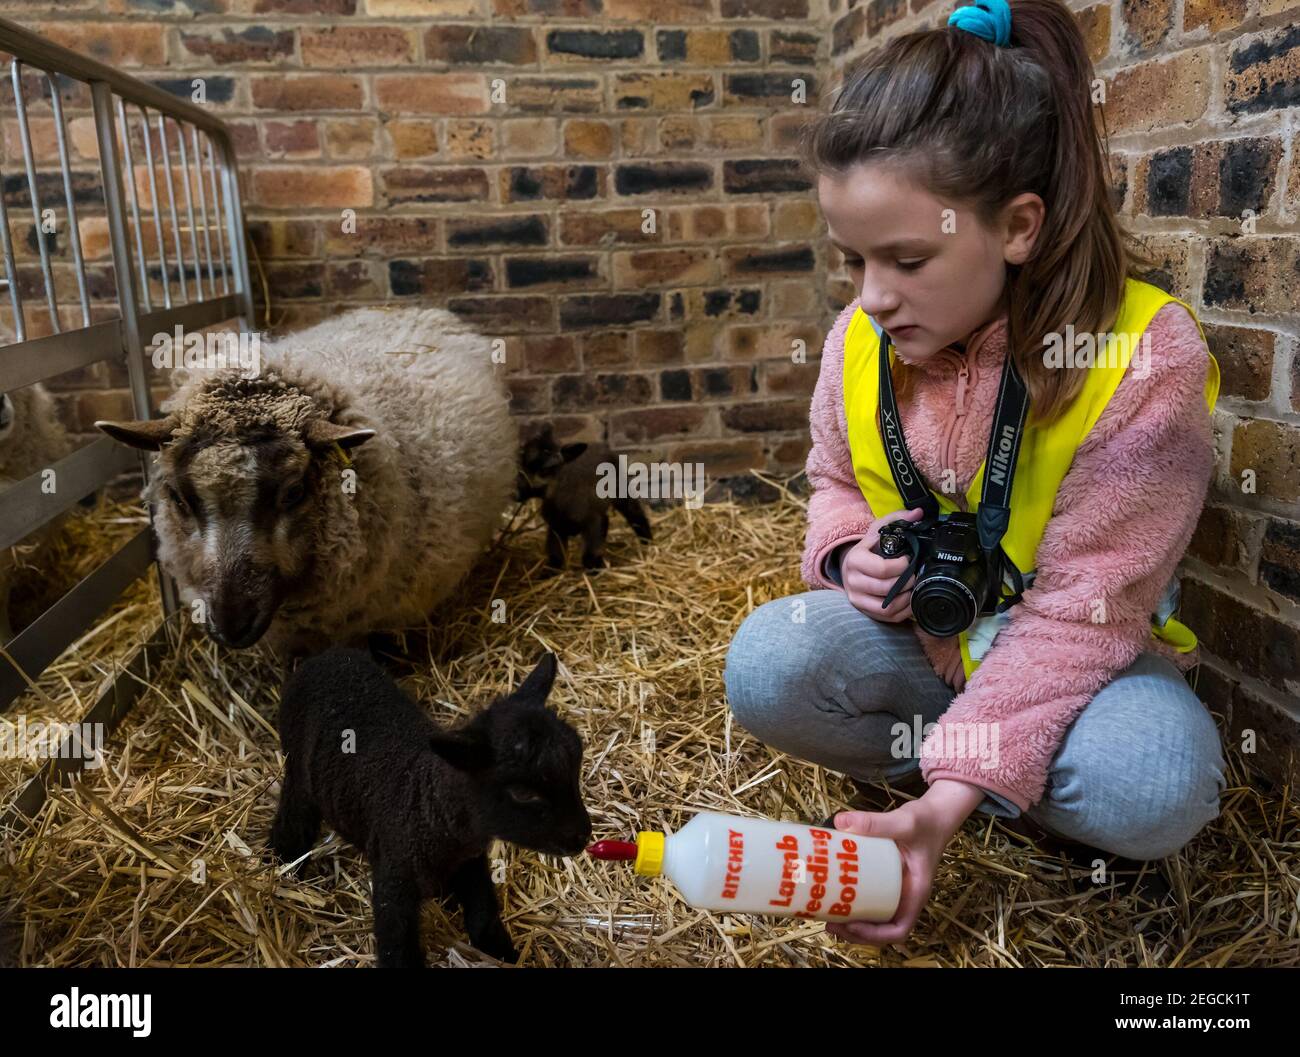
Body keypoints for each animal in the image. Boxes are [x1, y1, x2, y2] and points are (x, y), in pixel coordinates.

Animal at [270, 647, 590, 967]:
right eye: (523, 793)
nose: (583, 836)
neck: (426, 802)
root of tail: (325, 655)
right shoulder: (394, 879)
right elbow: (398, 950)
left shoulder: (471, 862)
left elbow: (483, 915)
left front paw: (504, 953)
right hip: (298, 773)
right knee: (293, 820)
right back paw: (284, 865)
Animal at [516, 423, 652, 572]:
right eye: (522, 462)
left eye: (546, 469)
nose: (516, 491)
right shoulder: (556, 528)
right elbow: (556, 557)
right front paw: (547, 574)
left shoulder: (593, 521)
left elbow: (589, 557)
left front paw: (596, 571)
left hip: (621, 491)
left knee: (634, 512)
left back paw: (647, 540)